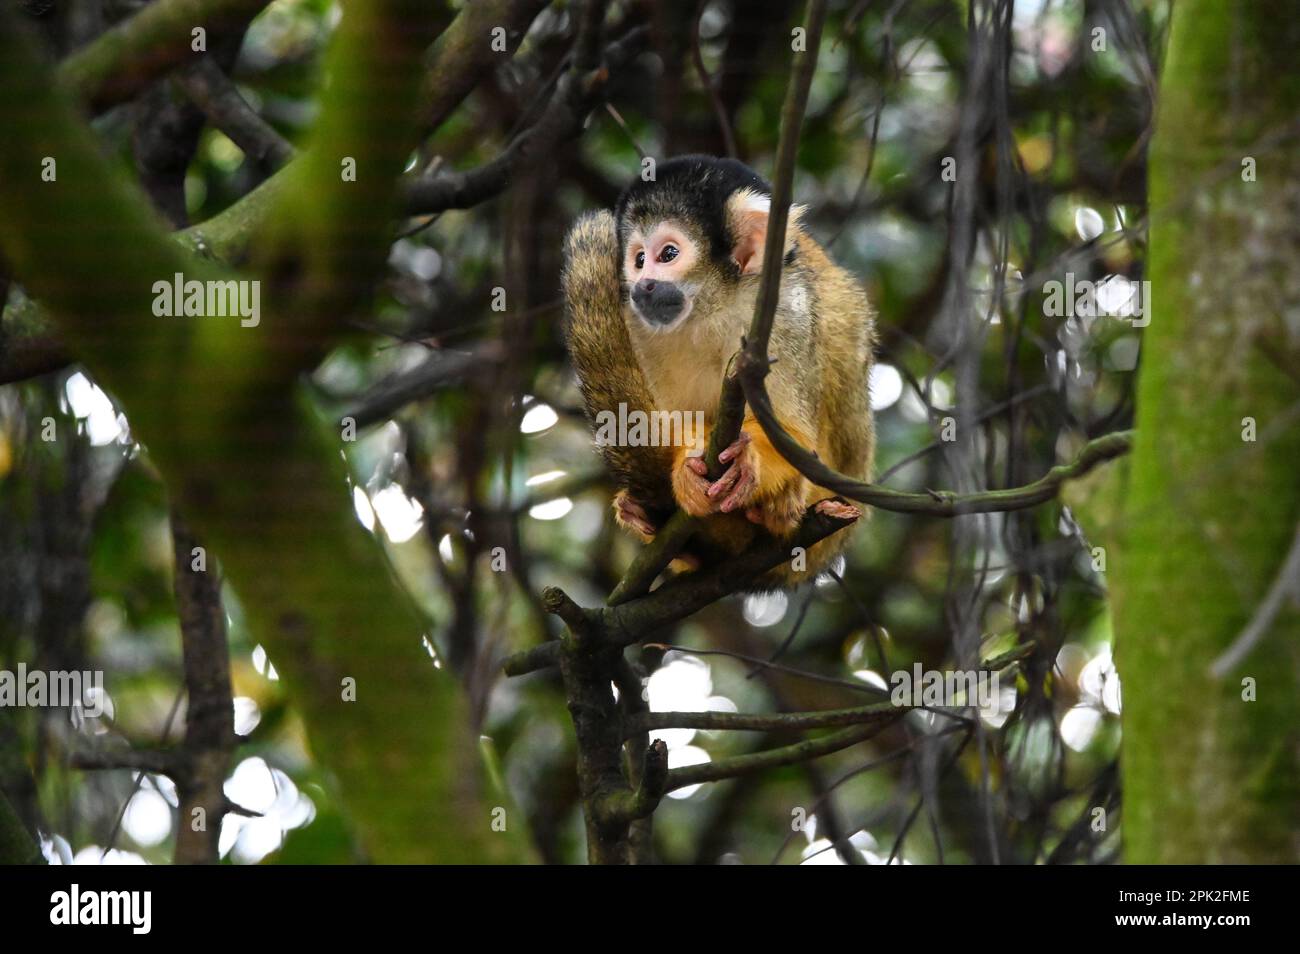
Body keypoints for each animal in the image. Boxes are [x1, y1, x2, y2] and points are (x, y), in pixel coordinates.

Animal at [561, 154, 873, 587]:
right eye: (638, 259)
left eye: (668, 254)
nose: (642, 285)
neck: (711, 309)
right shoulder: (636, 324)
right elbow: (638, 424)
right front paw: (683, 470)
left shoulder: (782, 310)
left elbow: (795, 436)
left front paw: (750, 461)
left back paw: (782, 510)